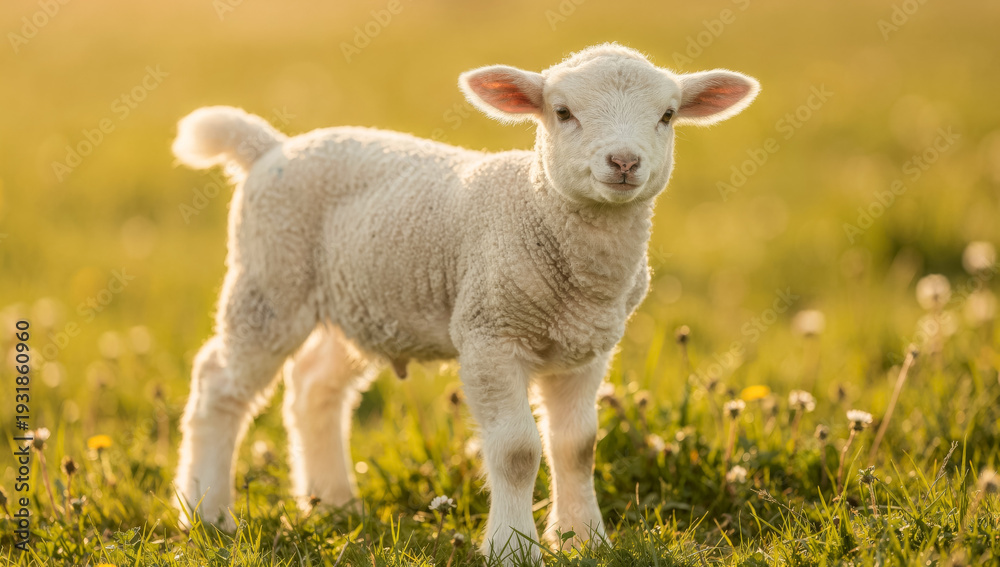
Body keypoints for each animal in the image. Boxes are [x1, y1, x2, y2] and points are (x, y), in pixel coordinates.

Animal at [171, 43, 759, 562]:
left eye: (667, 115)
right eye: (563, 112)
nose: (624, 161)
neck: (536, 209)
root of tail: (271, 147)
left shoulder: (587, 350)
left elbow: (578, 445)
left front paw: (585, 541)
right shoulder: (489, 334)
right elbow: (518, 451)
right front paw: (513, 549)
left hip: (363, 302)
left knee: (316, 388)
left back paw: (335, 506)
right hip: (270, 281)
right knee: (218, 384)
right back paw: (206, 513)